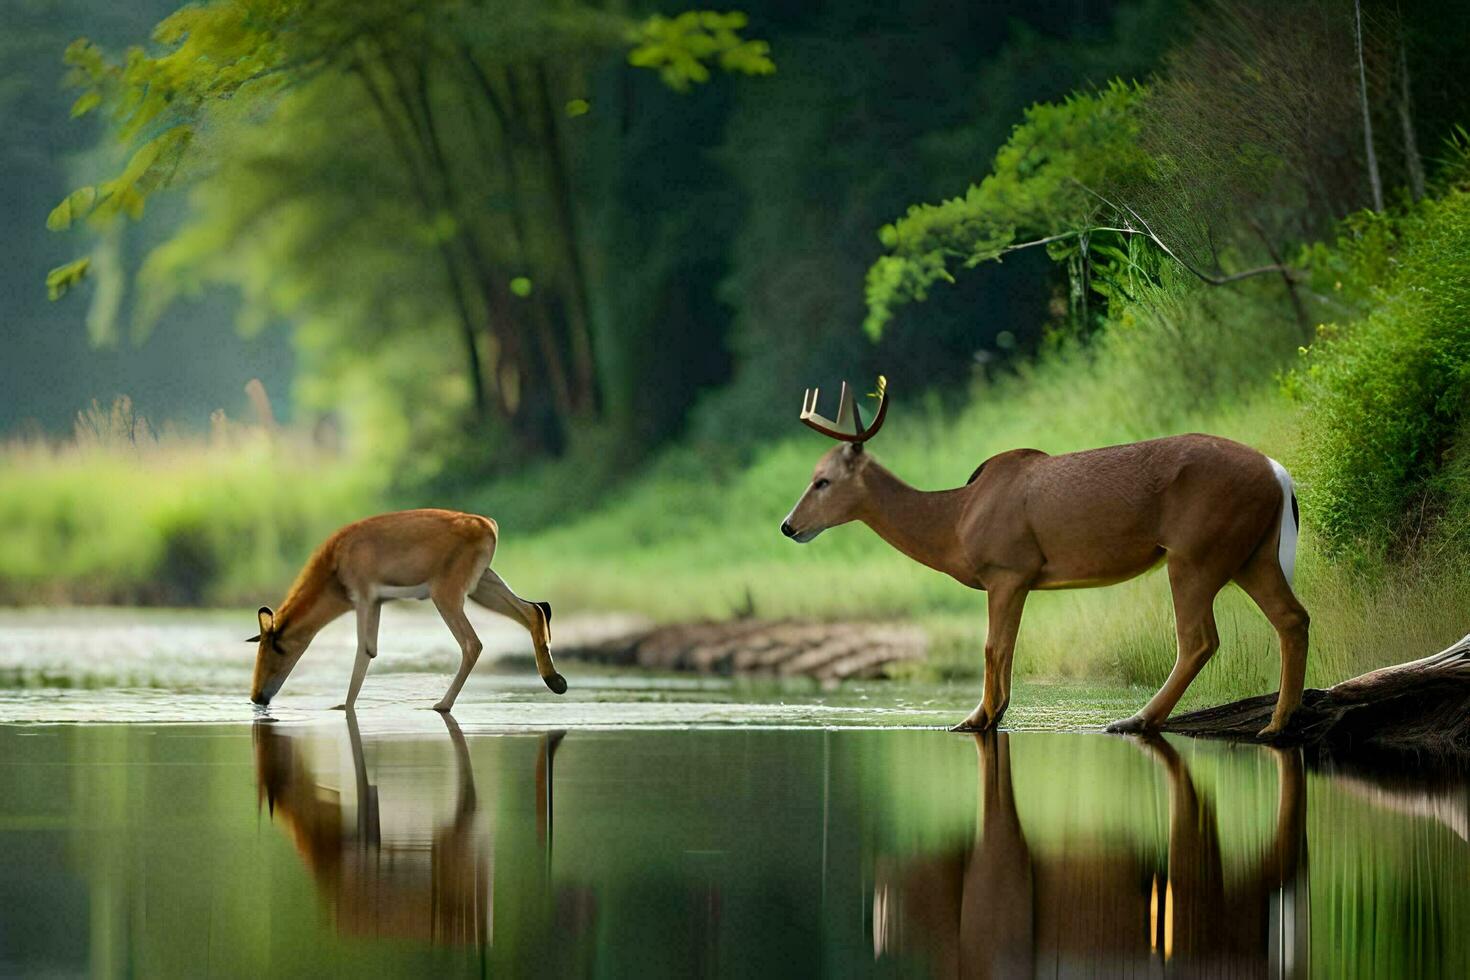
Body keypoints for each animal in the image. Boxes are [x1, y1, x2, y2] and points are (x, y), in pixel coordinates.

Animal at [782, 376, 1311, 734]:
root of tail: (1280, 472)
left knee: (1200, 638)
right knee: (1293, 617)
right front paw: (992, 713)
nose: (789, 526)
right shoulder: (1020, 579)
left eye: (821, 480)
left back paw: (1136, 719)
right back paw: (1277, 722)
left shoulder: (1007, 568)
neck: (957, 521)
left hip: (1197, 551)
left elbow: (993, 647)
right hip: (1251, 554)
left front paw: (976, 717)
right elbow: (1008, 647)